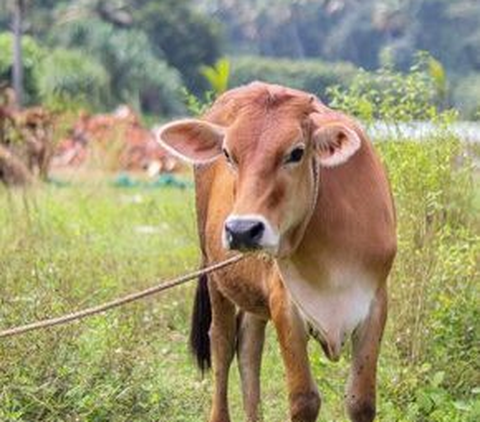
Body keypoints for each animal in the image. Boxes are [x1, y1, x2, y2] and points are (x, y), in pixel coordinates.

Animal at [156, 83, 396, 422]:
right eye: (228, 154)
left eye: (296, 152)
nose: (242, 229)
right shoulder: (284, 303)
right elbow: (304, 399)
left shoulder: (375, 301)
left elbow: (361, 401)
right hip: (215, 274)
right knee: (222, 343)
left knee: (248, 347)